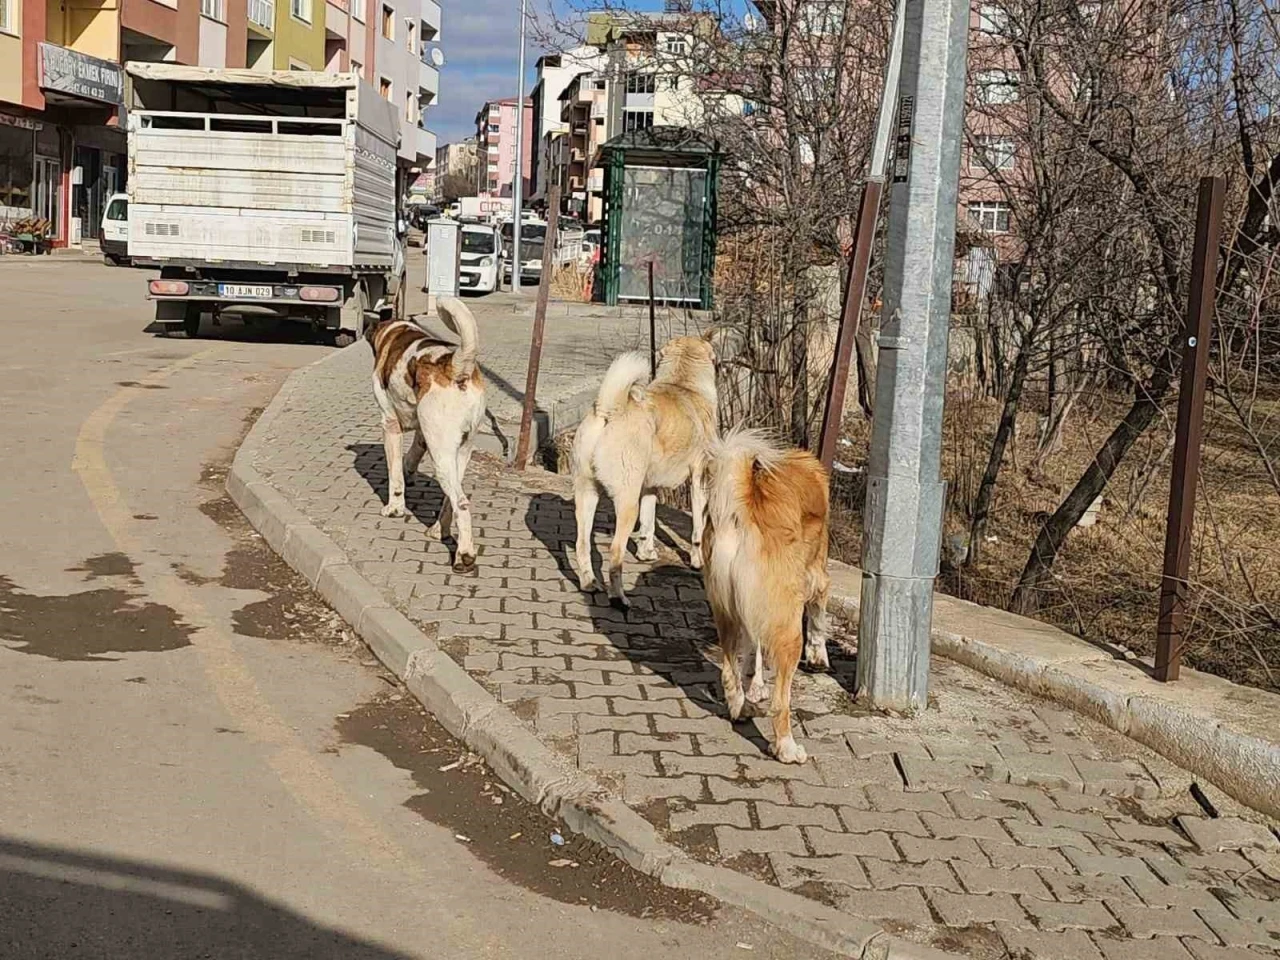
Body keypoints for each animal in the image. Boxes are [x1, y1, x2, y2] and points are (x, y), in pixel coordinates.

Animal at [371, 299, 488, 570]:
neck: (395, 332)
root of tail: (456, 365)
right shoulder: (423, 434)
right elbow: (411, 456)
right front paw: (408, 470)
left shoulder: (390, 425)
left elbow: (395, 476)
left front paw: (394, 508)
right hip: (459, 452)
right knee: (450, 500)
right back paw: (438, 531)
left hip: (442, 455)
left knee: (462, 503)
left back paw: (464, 555)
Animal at [573, 332, 721, 609]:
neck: (683, 383)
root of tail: (610, 409)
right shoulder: (699, 480)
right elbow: (697, 527)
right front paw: (697, 561)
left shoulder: (650, 487)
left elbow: (649, 522)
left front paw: (646, 553)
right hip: (626, 502)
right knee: (615, 552)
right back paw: (618, 597)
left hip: (586, 494)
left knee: (582, 543)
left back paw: (590, 583)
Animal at [701, 430, 829, 768]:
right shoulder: (818, 576)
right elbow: (819, 618)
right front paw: (819, 656)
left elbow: (753, 648)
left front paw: (754, 684)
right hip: (788, 629)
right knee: (780, 703)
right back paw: (786, 748)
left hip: (726, 612)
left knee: (728, 670)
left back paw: (741, 707)